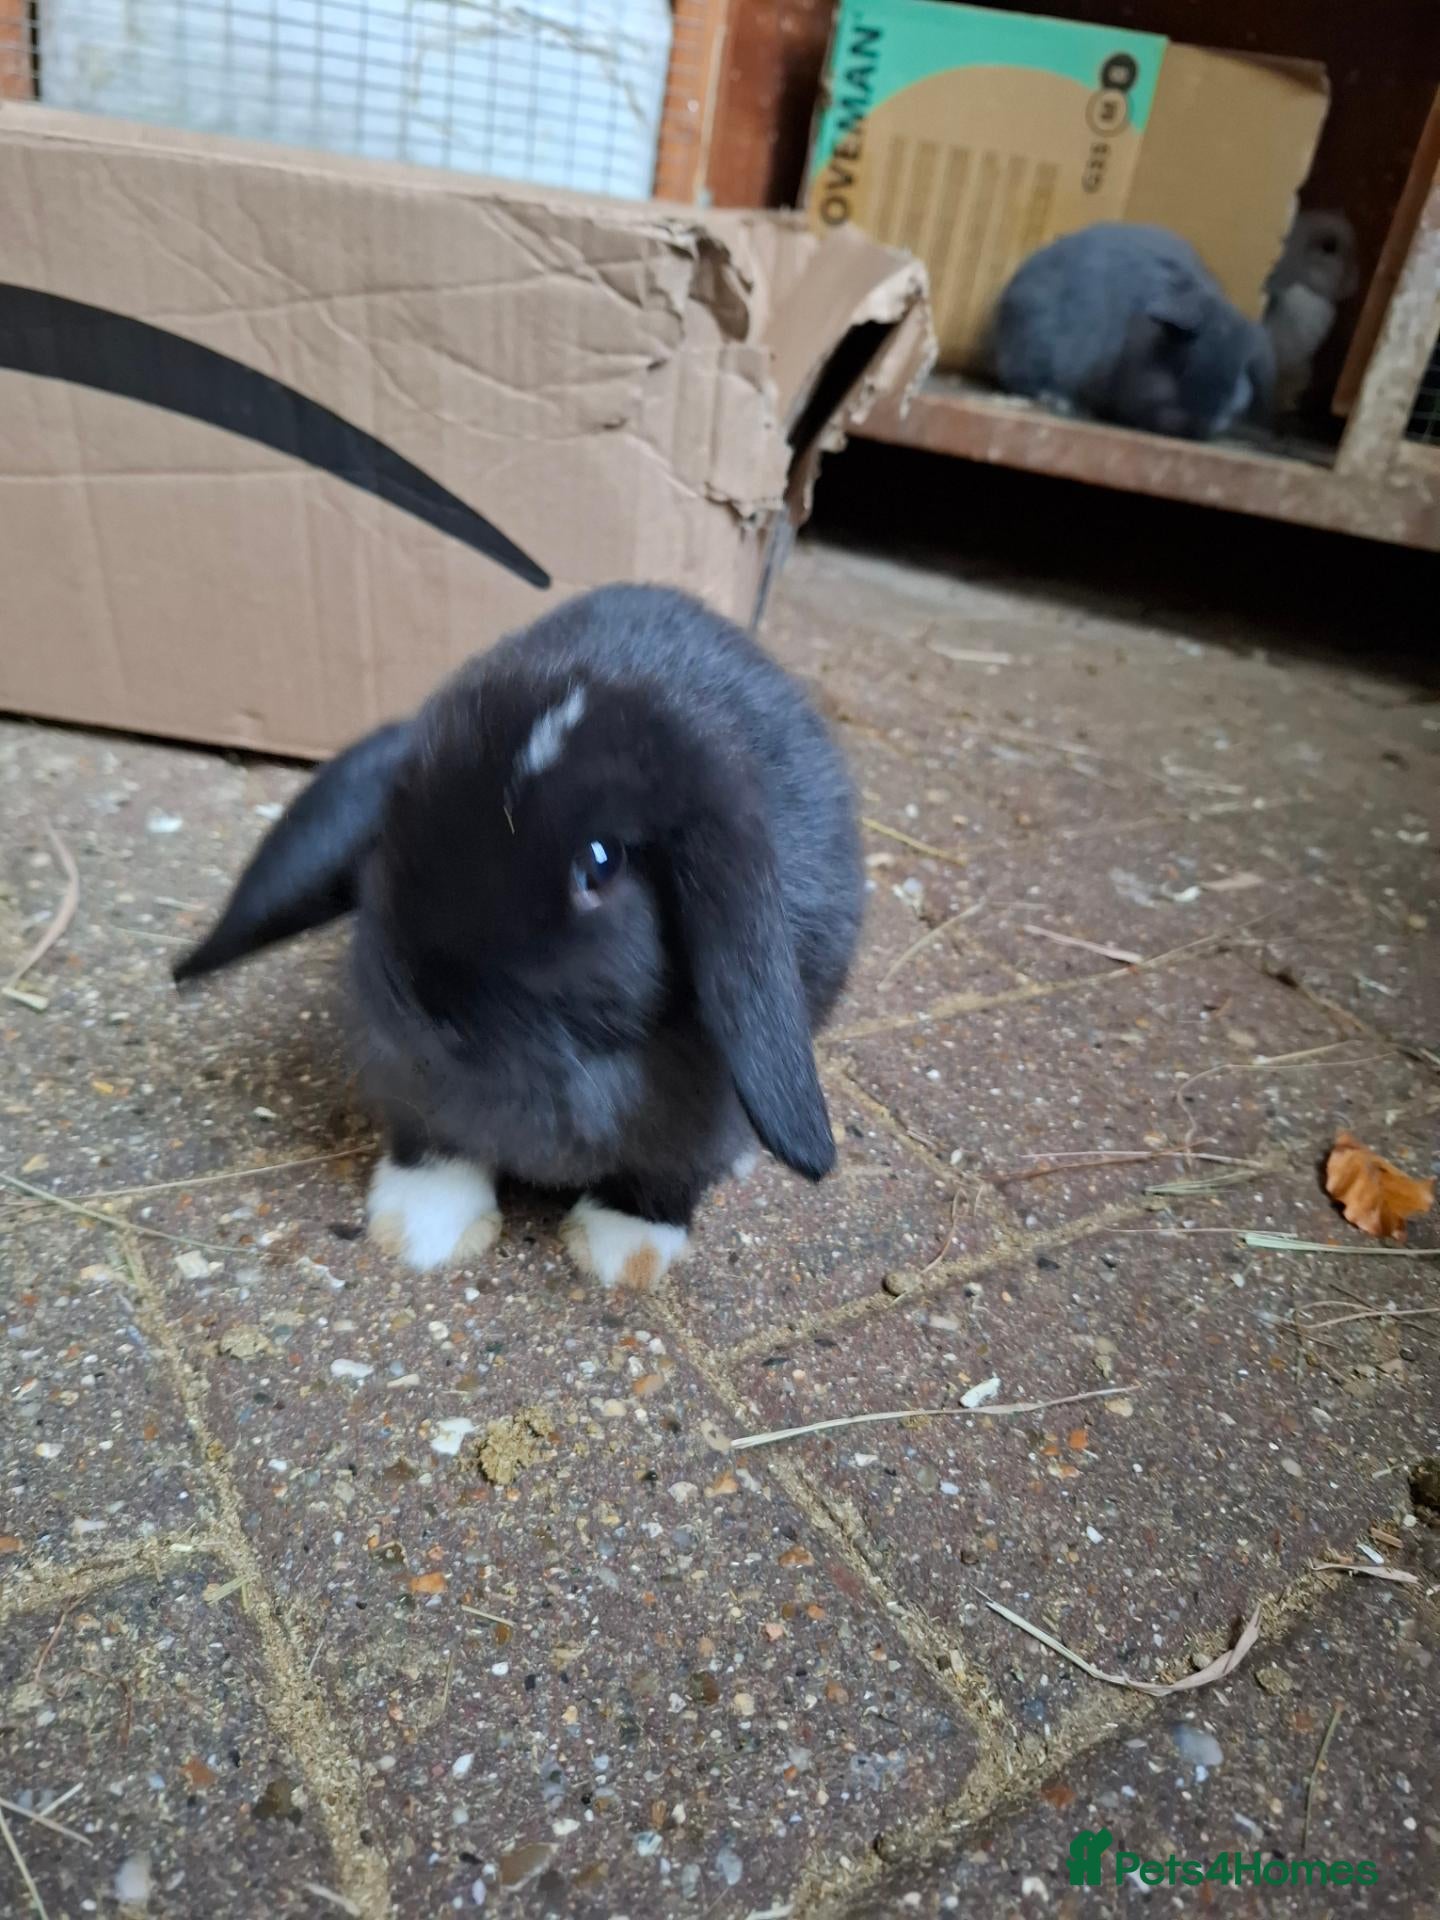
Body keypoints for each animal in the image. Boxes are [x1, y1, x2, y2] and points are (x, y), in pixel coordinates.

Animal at [174, 586, 864, 1288]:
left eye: (601, 862)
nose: (431, 1009)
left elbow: (667, 1174)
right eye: (398, 819)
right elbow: (435, 1143)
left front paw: (620, 1250)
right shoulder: (411, 1079)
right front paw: (424, 1228)